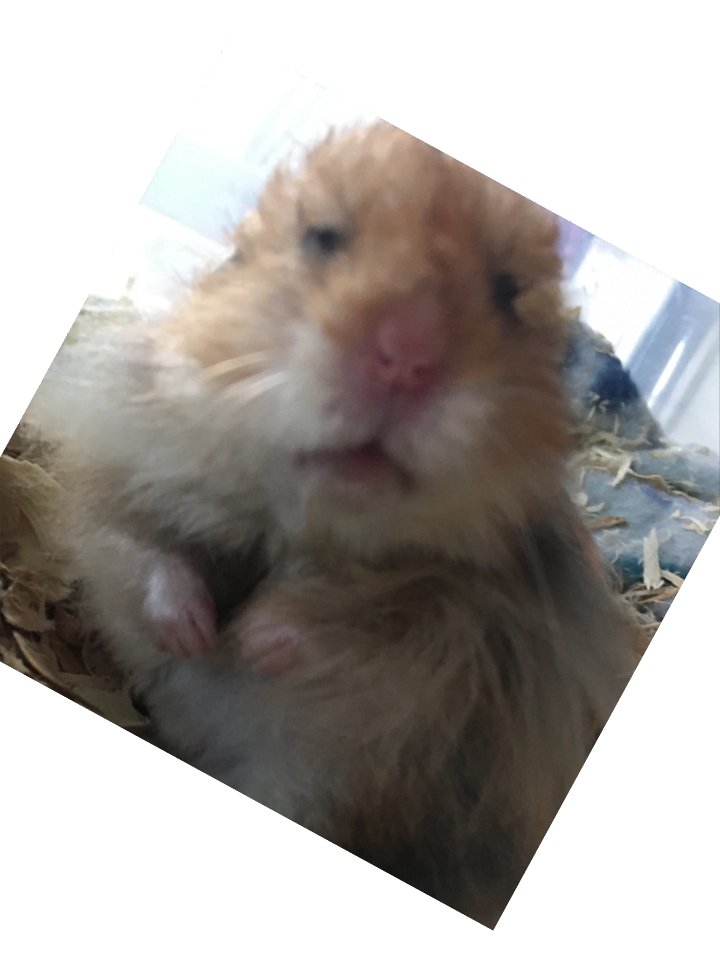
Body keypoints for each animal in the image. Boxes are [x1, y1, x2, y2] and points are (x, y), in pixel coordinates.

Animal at [27, 121, 642, 927]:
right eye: (322, 238)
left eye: (509, 294)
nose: (406, 356)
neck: (303, 519)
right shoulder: (115, 474)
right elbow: (147, 556)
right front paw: (197, 634)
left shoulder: (469, 631)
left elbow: (371, 613)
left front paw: (253, 641)